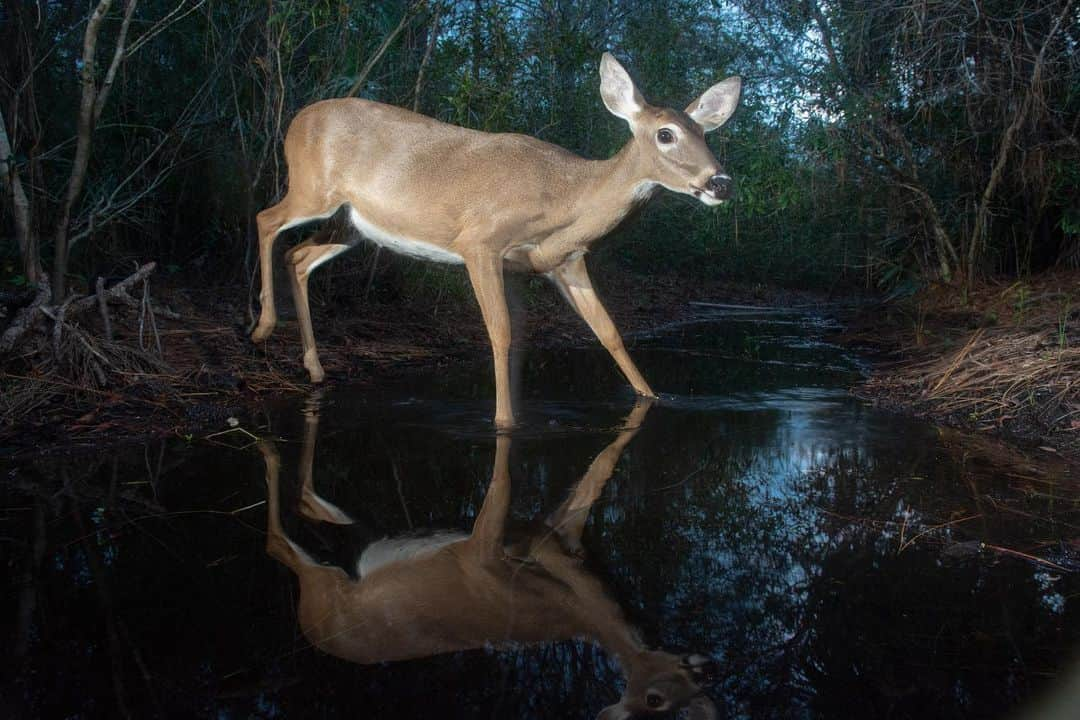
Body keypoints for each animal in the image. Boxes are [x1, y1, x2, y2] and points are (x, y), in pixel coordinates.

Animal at [250, 53, 743, 431]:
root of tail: (297, 120)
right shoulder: (480, 242)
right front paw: (505, 422)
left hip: (351, 225)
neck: (567, 198)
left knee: (297, 255)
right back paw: (263, 327)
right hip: (312, 189)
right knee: (265, 219)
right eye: (666, 134)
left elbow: (609, 333)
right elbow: (501, 332)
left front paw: (653, 398)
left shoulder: (564, 262)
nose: (720, 183)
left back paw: (315, 368)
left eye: (705, 133)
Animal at [257, 397, 721, 716]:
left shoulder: (535, 540)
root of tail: (311, 629)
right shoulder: (485, 555)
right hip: (322, 585)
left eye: (692, 693)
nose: (705, 669)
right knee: (276, 544)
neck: (566, 609)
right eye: (654, 698)